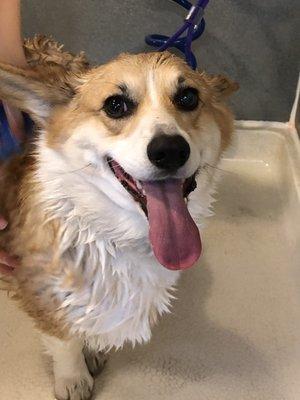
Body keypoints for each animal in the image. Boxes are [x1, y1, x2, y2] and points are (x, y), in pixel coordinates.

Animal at [0, 37, 237, 400]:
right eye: (115, 105)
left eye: (188, 97)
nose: (170, 150)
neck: (114, 233)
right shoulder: (40, 290)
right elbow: (65, 339)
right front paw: (73, 378)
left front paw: (93, 349)